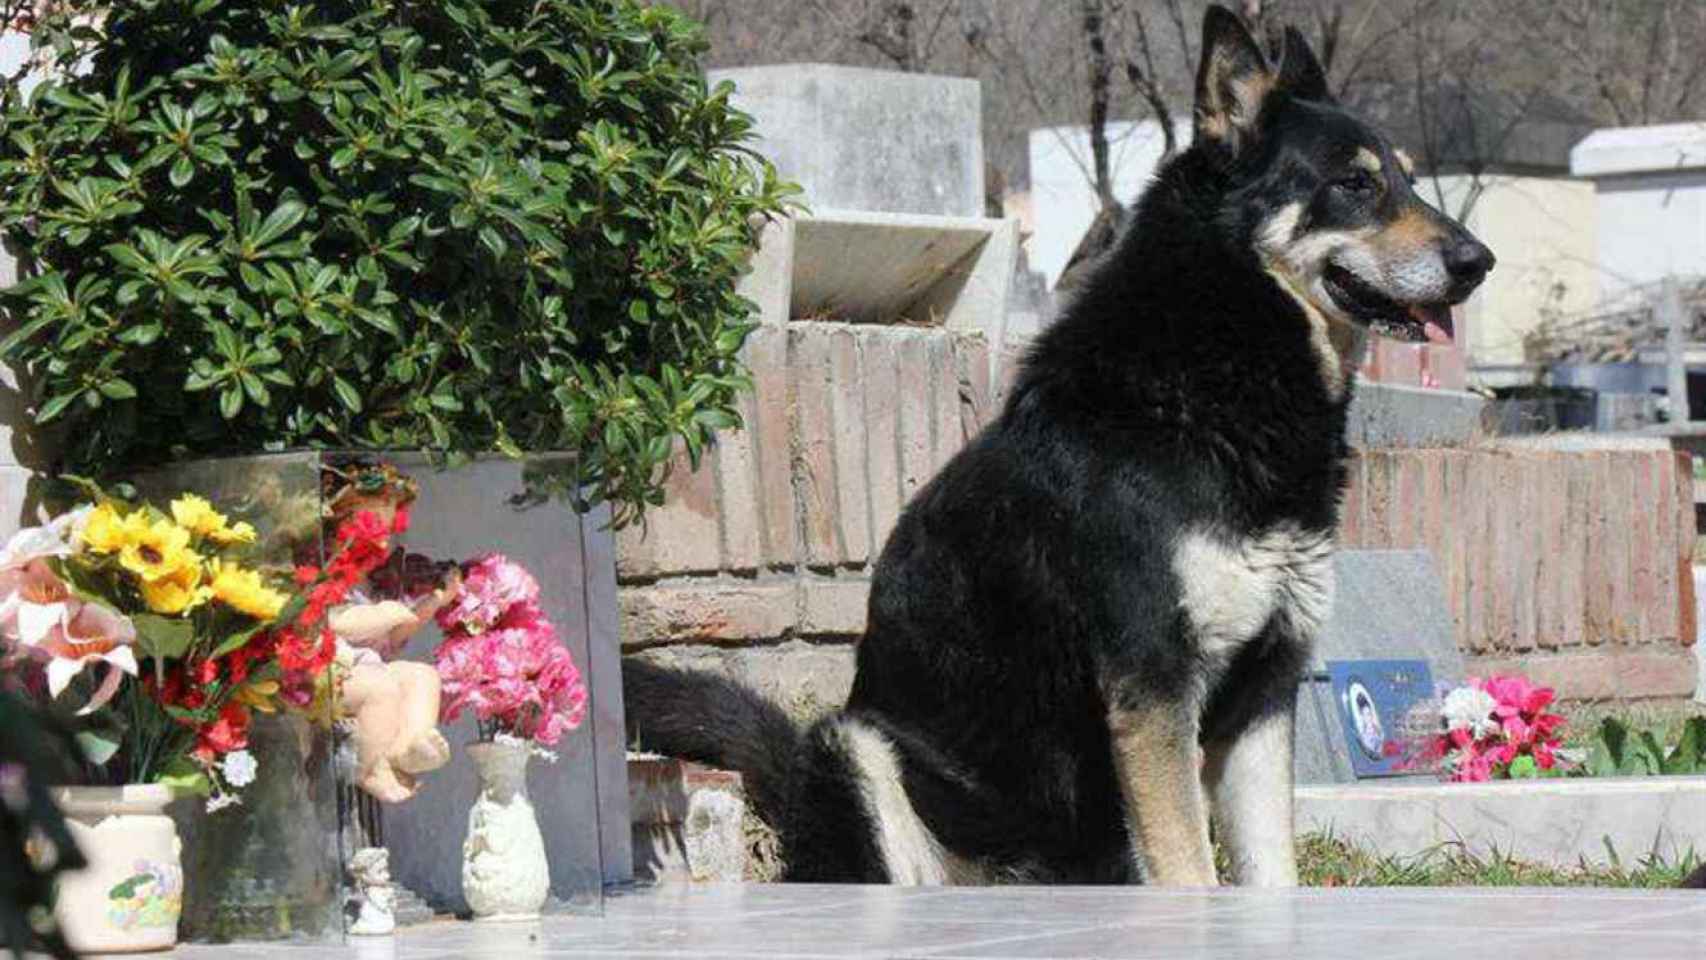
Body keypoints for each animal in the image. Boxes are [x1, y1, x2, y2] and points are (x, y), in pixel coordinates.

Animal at [624, 5, 1494, 893]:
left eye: (1410, 180)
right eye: (1355, 184)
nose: (1479, 261)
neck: (1218, 370)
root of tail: (794, 784)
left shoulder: (1264, 691)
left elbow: (1270, 874)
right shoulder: (1154, 687)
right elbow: (1191, 870)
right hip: (858, 748)